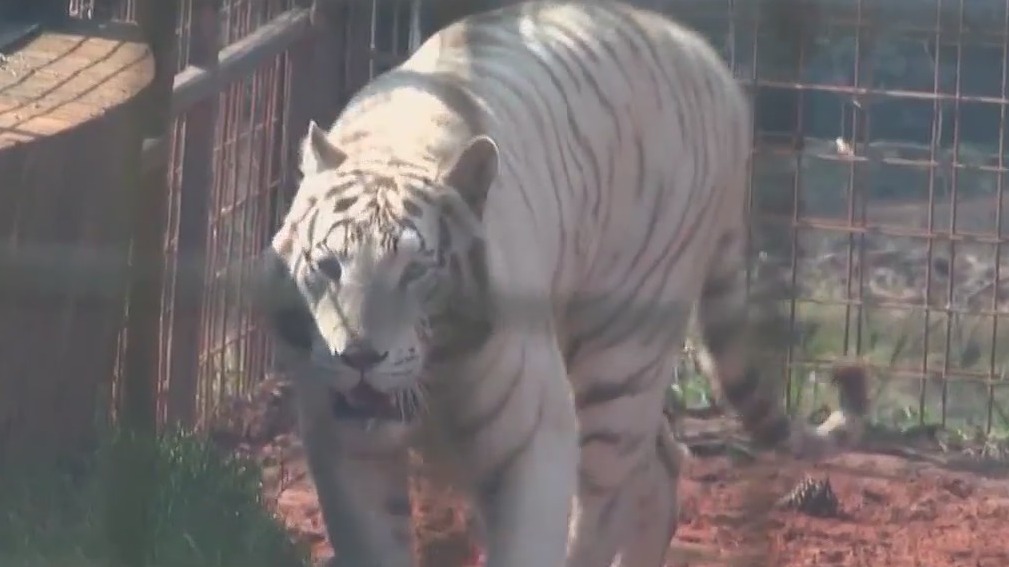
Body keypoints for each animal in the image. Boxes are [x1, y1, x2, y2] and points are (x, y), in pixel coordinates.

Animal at [252, 1, 869, 566]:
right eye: (329, 266)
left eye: (416, 270)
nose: (359, 356)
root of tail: (709, 60)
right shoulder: (346, 447)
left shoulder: (532, 438)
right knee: (662, 464)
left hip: (620, 362)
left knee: (605, 502)